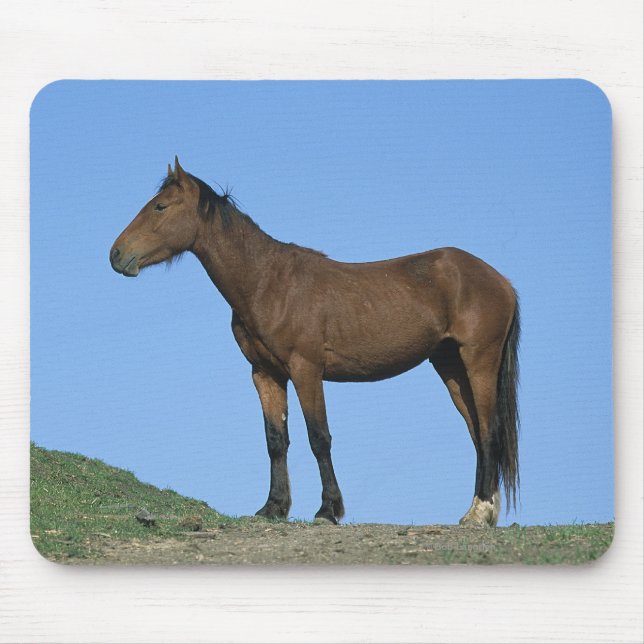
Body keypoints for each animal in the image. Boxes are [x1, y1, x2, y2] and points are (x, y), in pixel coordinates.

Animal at [110, 157, 520, 527]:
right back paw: (477, 511)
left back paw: (480, 514)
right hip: (450, 366)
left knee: (488, 431)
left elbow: (318, 437)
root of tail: (500, 280)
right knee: (476, 433)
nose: (116, 254)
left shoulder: (306, 370)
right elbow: (276, 440)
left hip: (478, 361)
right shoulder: (265, 374)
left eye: (160, 206)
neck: (266, 281)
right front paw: (273, 507)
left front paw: (327, 510)